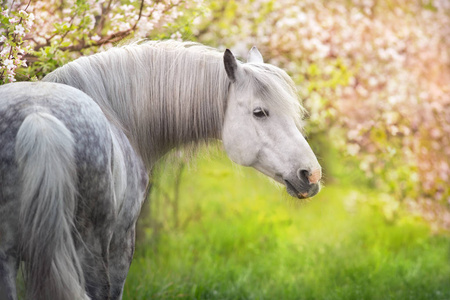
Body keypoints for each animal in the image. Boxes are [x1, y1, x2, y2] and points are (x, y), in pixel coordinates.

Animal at [0, 40, 324, 300]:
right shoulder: (122, 242)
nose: (311, 174)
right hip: (88, 247)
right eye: (259, 112)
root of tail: (39, 117)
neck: (117, 116)